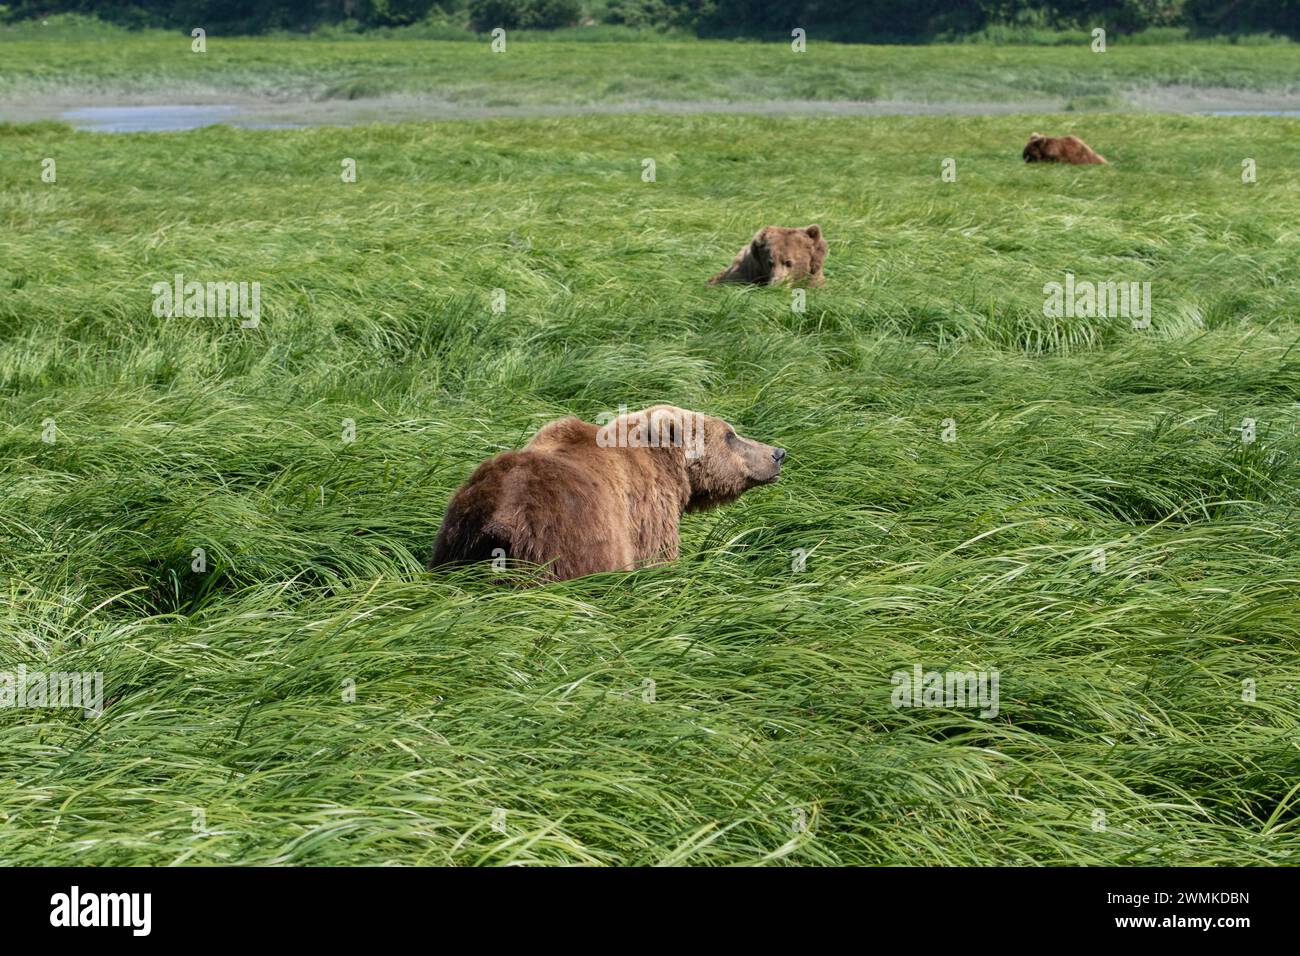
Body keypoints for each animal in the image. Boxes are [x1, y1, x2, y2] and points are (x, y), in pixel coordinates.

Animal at [431, 405, 785, 582]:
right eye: (730, 435)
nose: (778, 453)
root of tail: (501, 514)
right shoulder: (645, 512)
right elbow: (656, 559)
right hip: (567, 541)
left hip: (458, 540)